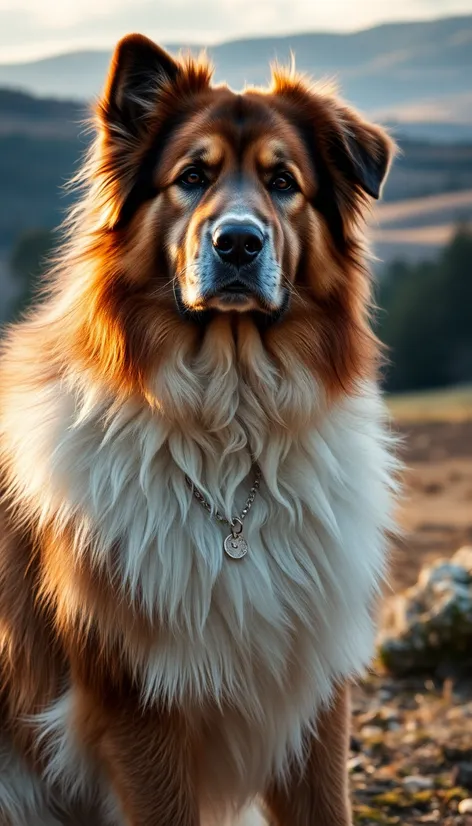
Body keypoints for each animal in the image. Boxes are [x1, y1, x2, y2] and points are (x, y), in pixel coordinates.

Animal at [0, 35, 398, 824]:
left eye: (283, 181)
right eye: (191, 177)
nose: (238, 243)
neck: (231, 429)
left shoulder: (312, 699)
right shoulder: (136, 712)